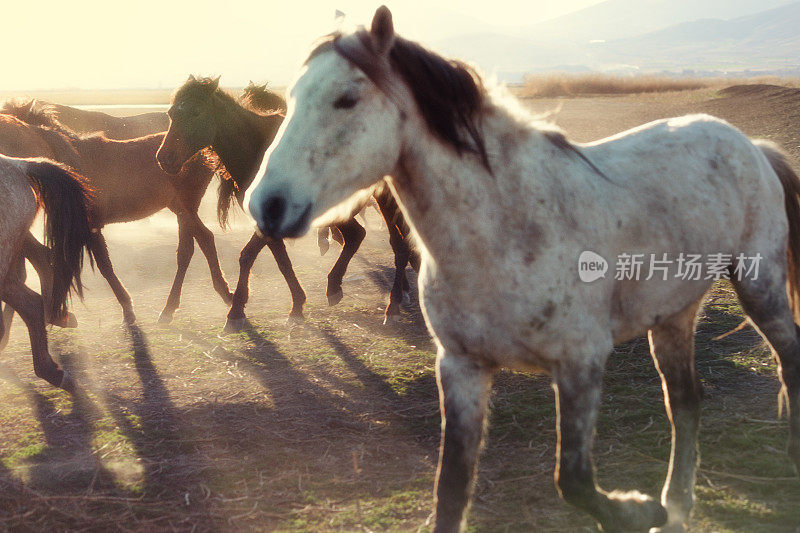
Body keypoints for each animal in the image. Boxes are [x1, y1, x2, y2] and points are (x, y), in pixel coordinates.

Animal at [2, 101, 234, 322]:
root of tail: (205, 151)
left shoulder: (91, 226)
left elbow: (105, 266)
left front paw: (127, 307)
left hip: (187, 207)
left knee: (199, 242)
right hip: (180, 208)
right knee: (195, 246)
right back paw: (187, 303)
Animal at [155, 75, 418, 328]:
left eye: (196, 112)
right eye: (171, 114)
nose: (165, 158)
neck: (259, 150)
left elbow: (247, 256)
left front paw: (236, 311)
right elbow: (281, 261)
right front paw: (297, 306)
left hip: (385, 198)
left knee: (397, 244)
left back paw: (392, 305)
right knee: (357, 235)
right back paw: (338, 286)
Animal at [247, 6, 800, 528]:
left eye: (346, 98)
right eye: (292, 97)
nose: (266, 205)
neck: (504, 231)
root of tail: (750, 145)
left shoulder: (579, 362)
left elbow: (573, 479)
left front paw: (638, 512)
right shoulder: (462, 368)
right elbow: (451, 490)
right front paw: (649, 511)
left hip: (760, 286)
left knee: (786, 364)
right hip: (672, 316)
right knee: (686, 401)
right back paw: (677, 508)